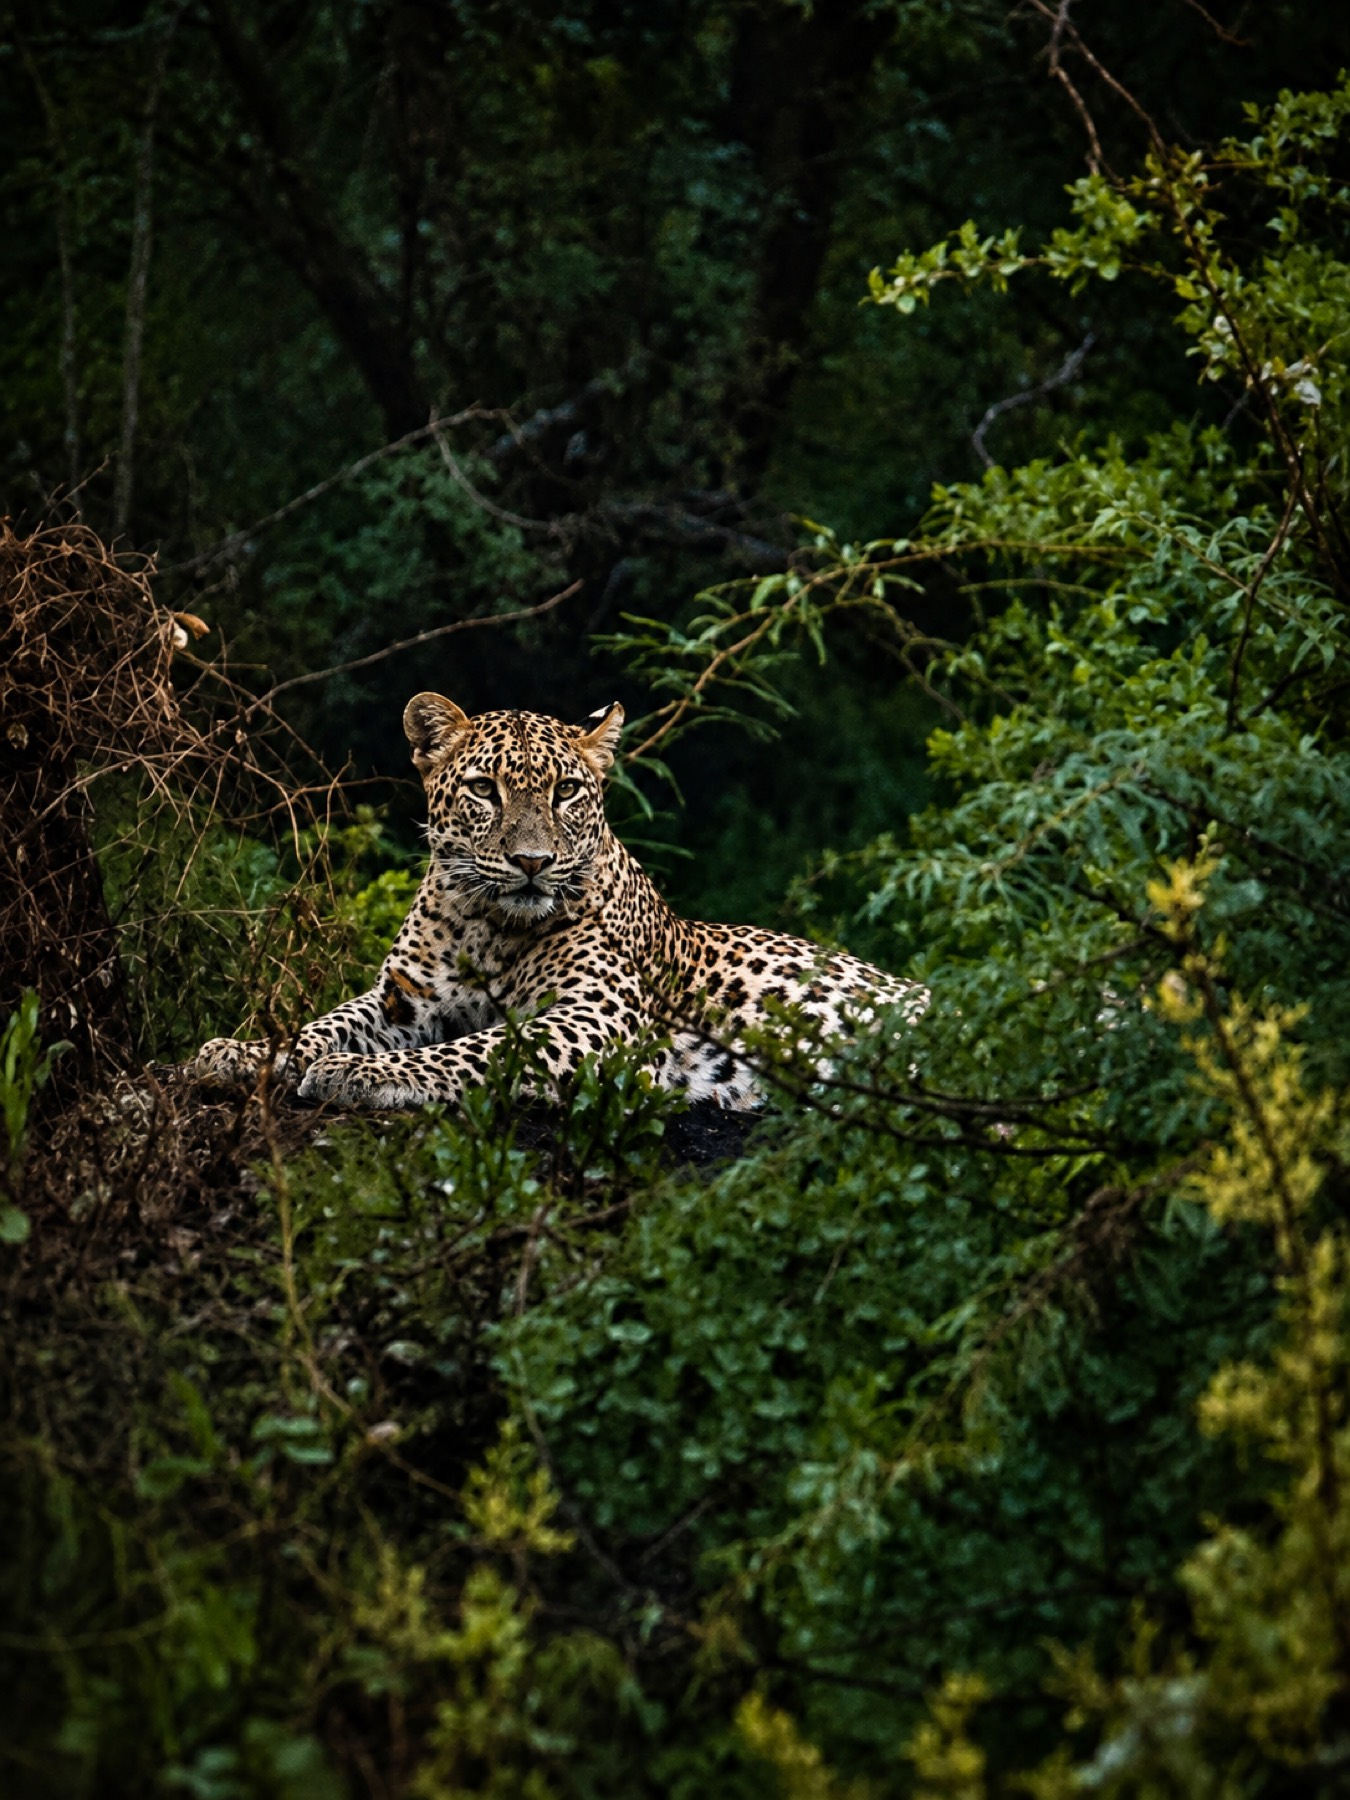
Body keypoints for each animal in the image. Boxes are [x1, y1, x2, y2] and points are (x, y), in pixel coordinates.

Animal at [190, 695, 925, 1112]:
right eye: (483, 789)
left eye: (567, 790)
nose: (532, 862)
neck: (483, 925)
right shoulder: (402, 1000)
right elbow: (321, 1023)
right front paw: (237, 1054)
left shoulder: (598, 1019)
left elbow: (479, 1050)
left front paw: (356, 1072)